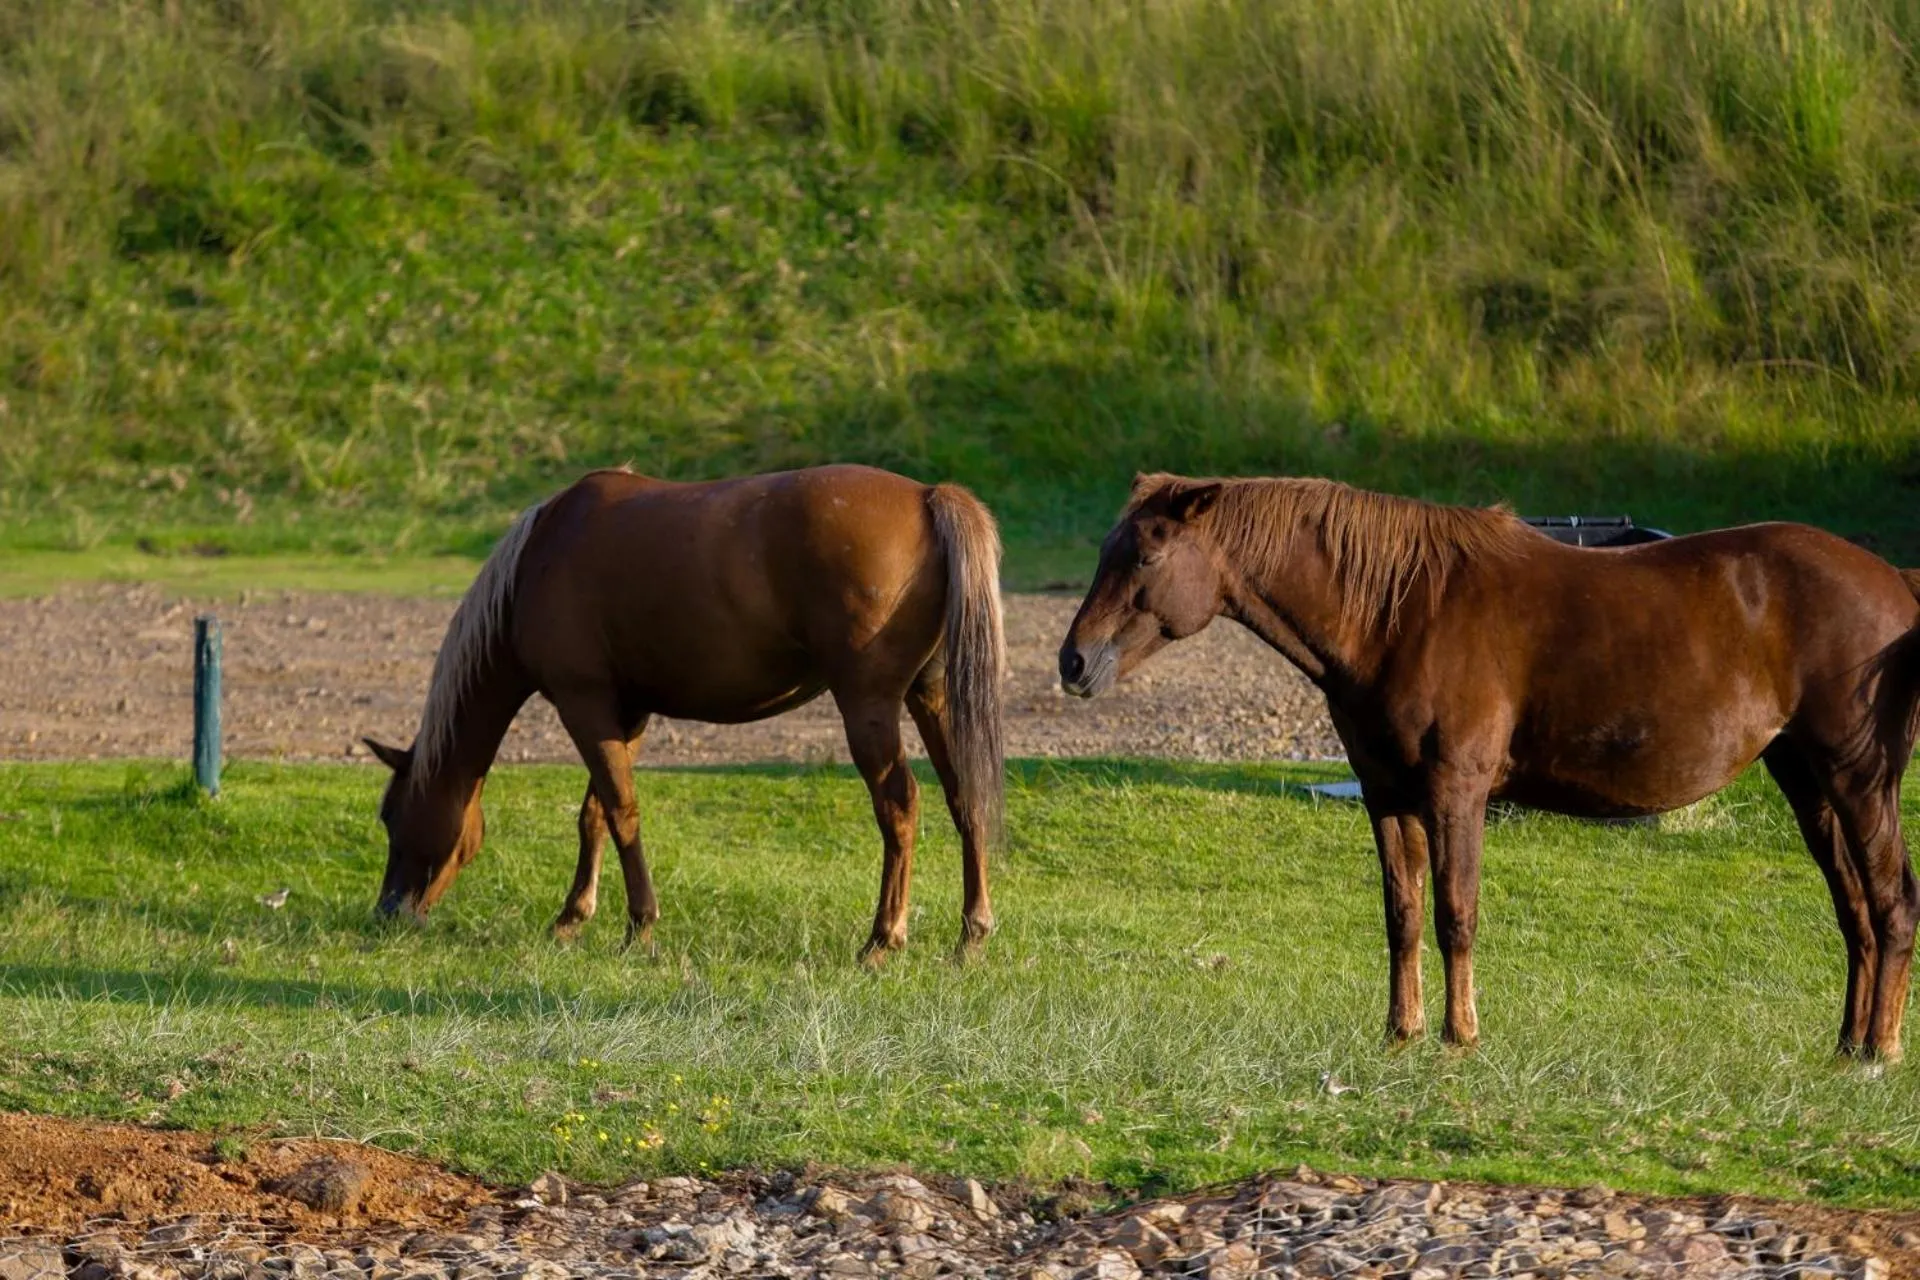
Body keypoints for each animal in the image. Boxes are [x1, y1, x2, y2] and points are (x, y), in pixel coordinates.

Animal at [364, 464, 1005, 962]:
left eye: (391, 816)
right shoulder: (628, 713)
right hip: (930, 697)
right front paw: (573, 918)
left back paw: (883, 938)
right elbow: (596, 814)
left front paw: (639, 927)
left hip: (868, 706)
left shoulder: (584, 704)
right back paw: (971, 934)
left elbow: (622, 811)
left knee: (899, 805)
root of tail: (928, 496)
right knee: (963, 797)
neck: (539, 558)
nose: (388, 914)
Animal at [1059, 473, 1920, 1060]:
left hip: (1859, 779)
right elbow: (1403, 914)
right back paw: (1848, 1045)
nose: (1073, 662)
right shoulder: (1387, 795)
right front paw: (1401, 1031)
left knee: (1892, 903)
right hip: (1807, 783)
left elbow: (1455, 912)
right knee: (1854, 912)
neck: (1400, 611)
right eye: (1104, 550)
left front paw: (1459, 1035)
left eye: (1145, 557)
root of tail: (1897, 584)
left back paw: (1879, 1051)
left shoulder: (1457, 792)